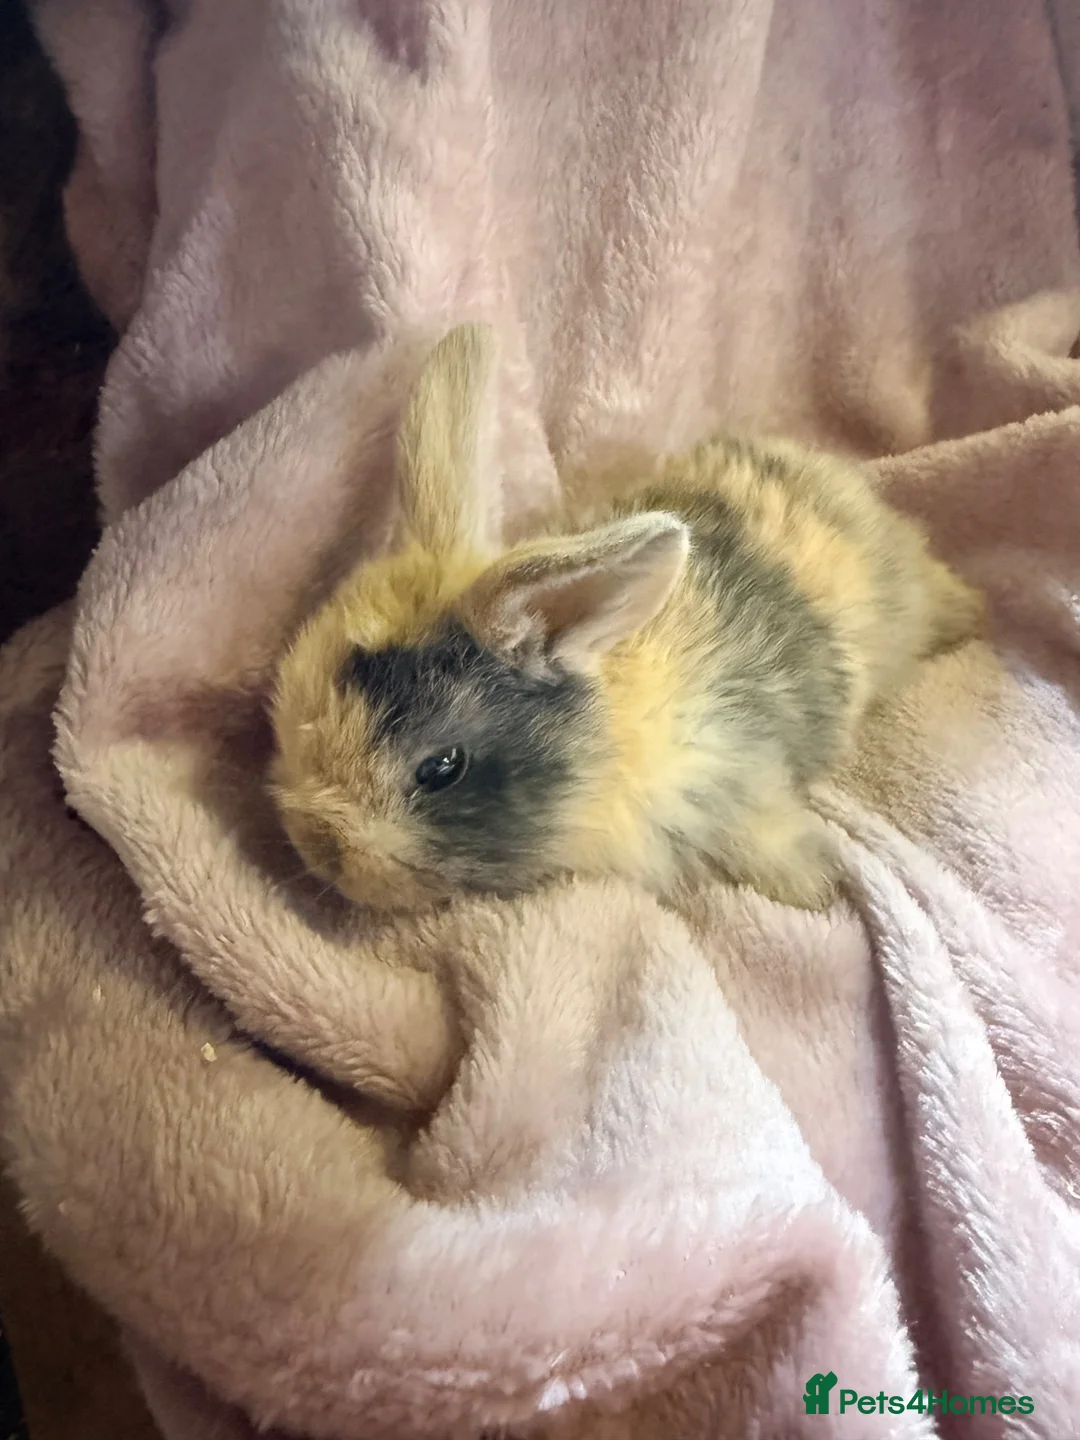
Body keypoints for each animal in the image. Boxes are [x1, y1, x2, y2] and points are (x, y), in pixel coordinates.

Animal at [269, 322, 984, 914]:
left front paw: (815, 886)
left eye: (441, 768)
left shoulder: (738, 779)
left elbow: (764, 830)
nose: (316, 849)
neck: (608, 736)